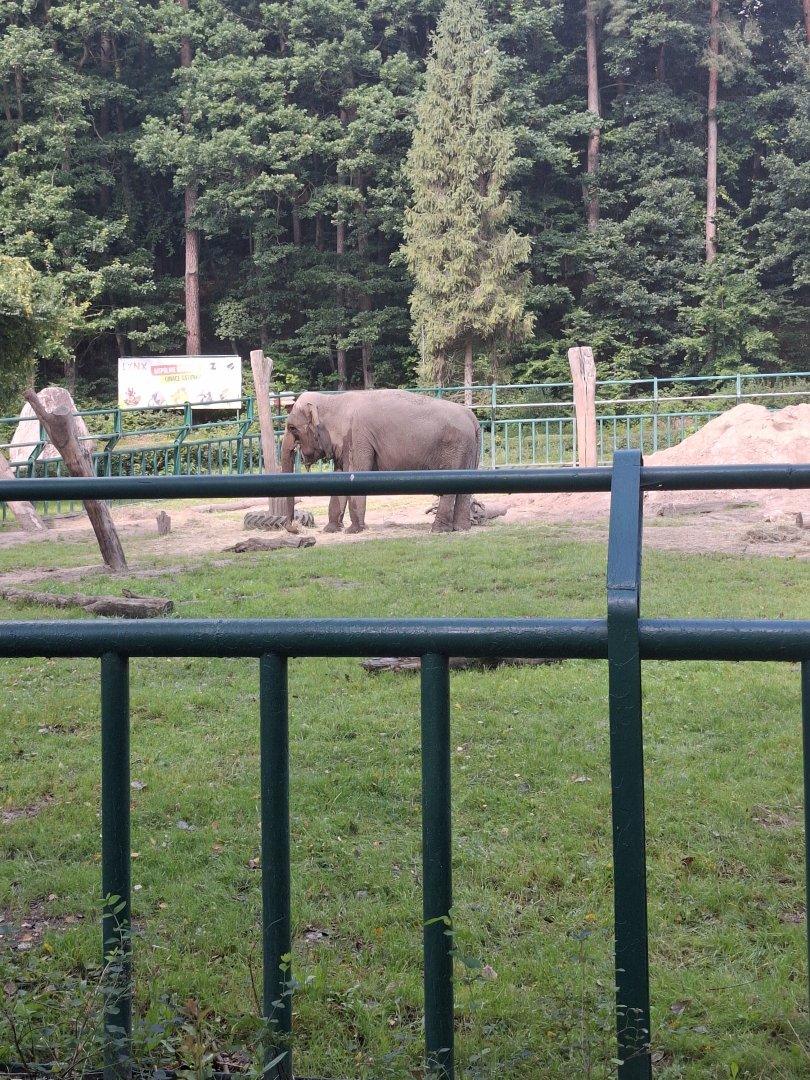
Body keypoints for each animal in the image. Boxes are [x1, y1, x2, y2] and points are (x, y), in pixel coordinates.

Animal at [280, 389, 481, 534]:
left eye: (292, 427)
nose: (294, 529)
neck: (332, 400)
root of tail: (472, 417)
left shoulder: (357, 437)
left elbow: (357, 473)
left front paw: (353, 531)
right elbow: (340, 479)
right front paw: (330, 530)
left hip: (454, 448)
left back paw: (437, 530)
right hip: (467, 451)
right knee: (465, 489)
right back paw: (461, 528)